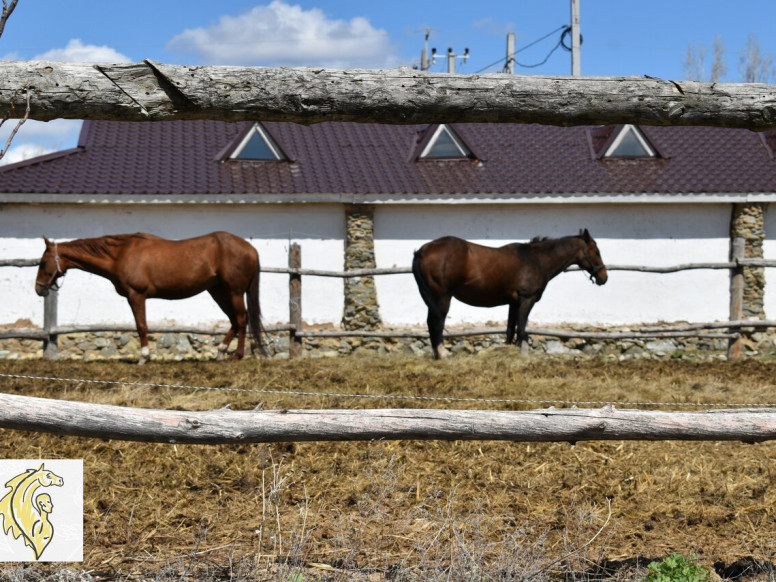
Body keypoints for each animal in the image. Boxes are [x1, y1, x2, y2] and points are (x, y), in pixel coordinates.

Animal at [34, 233, 266, 364]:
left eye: (43, 262)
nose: (38, 289)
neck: (121, 254)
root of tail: (251, 248)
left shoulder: (137, 295)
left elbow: (142, 326)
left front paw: (144, 357)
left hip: (234, 291)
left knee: (242, 319)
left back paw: (237, 356)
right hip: (217, 291)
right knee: (234, 320)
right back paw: (220, 353)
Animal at [412, 229, 608, 358]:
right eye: (596, 251)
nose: (604, 277)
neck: (537, 260)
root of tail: (423, 250)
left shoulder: (513, 303)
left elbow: (510, 329)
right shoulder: (526, 300)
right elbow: (521, 330)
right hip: (442, 298)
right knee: (436, 324)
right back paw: (443, 355)